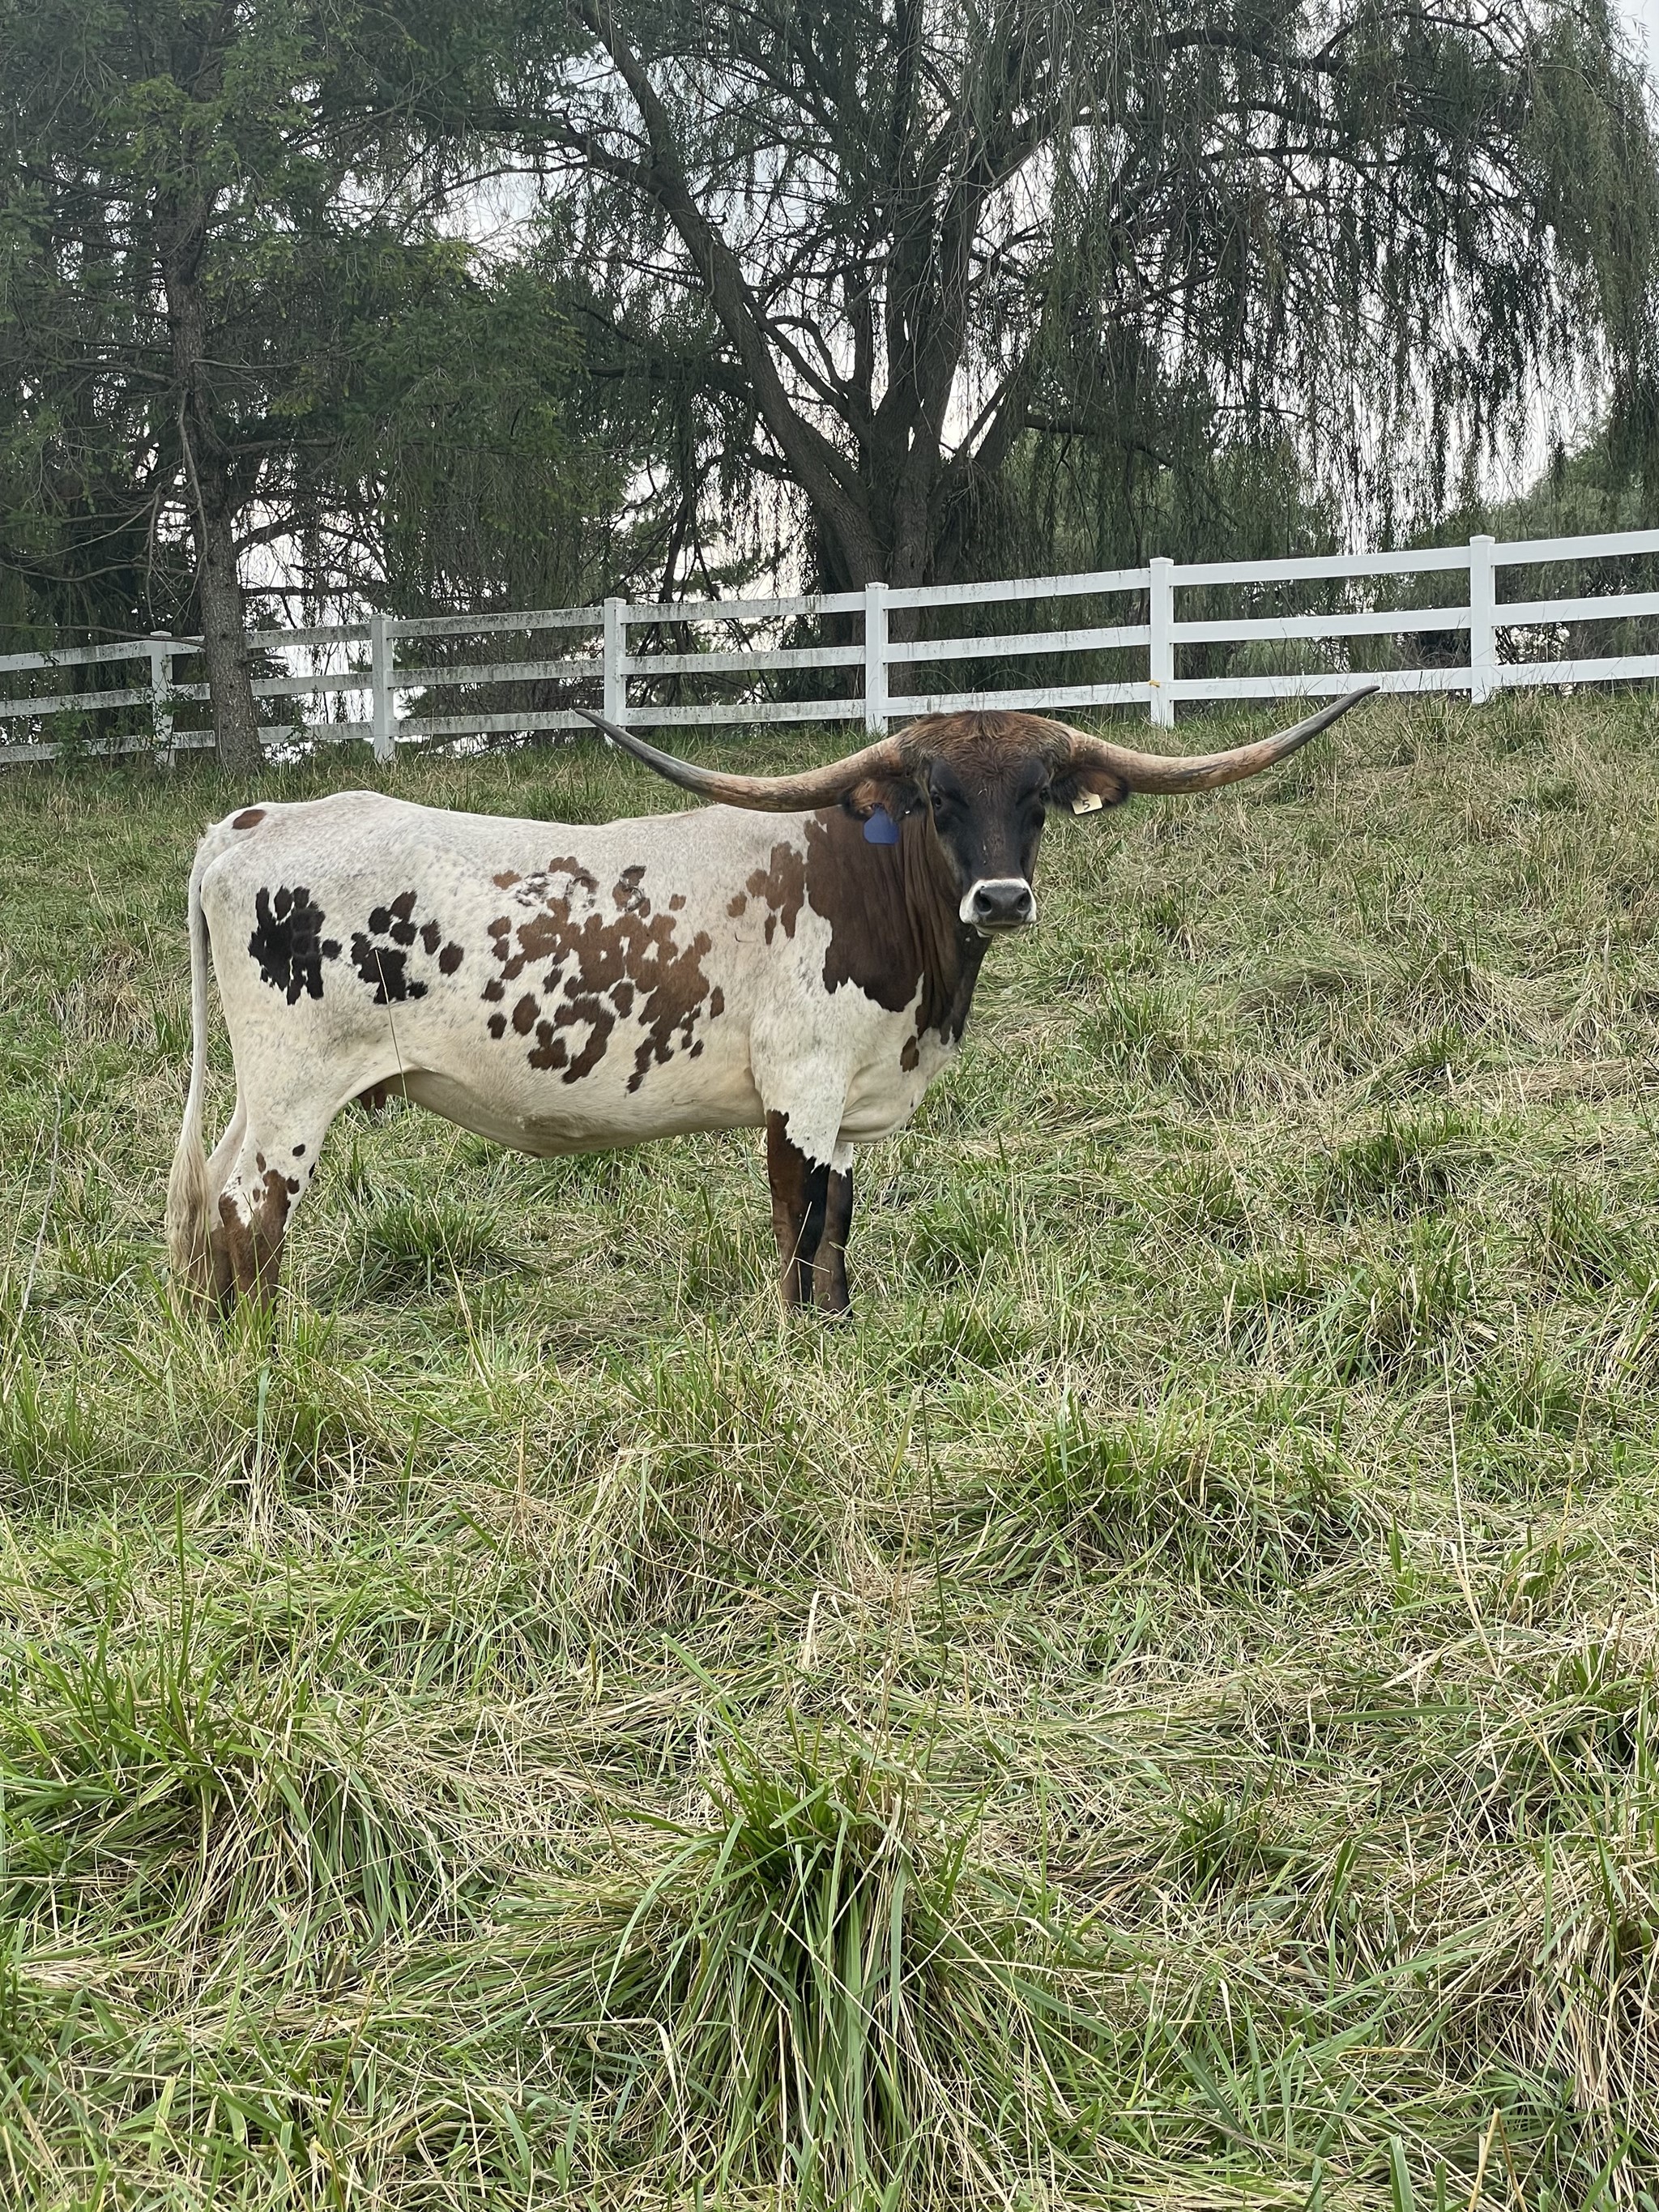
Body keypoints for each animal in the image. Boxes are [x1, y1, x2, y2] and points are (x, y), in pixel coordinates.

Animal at [166, 690, 1375, 1315]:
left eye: (1036, 798)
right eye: (937, 797)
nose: (1000, 896)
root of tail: (252, 821)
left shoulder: (847, 1108)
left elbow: (836, 1230)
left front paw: (840, 1330)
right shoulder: (799, 1092)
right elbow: (798, 1232)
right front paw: (800, 1344)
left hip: (260, 1094)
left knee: (207, 1205)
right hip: (295, 1093)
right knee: (248, 1214)